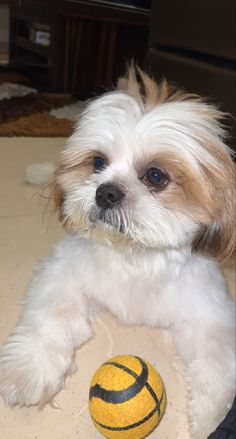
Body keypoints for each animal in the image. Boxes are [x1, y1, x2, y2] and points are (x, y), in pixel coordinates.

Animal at [0, 66, 236, 439]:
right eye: (97, 162)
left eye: (156, 175)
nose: (106, 192)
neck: (134, 255)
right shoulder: (63, 274)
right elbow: (50, 316)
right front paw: (30, 368)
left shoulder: (211, 315)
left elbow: (219, 365)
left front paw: (216, 419)